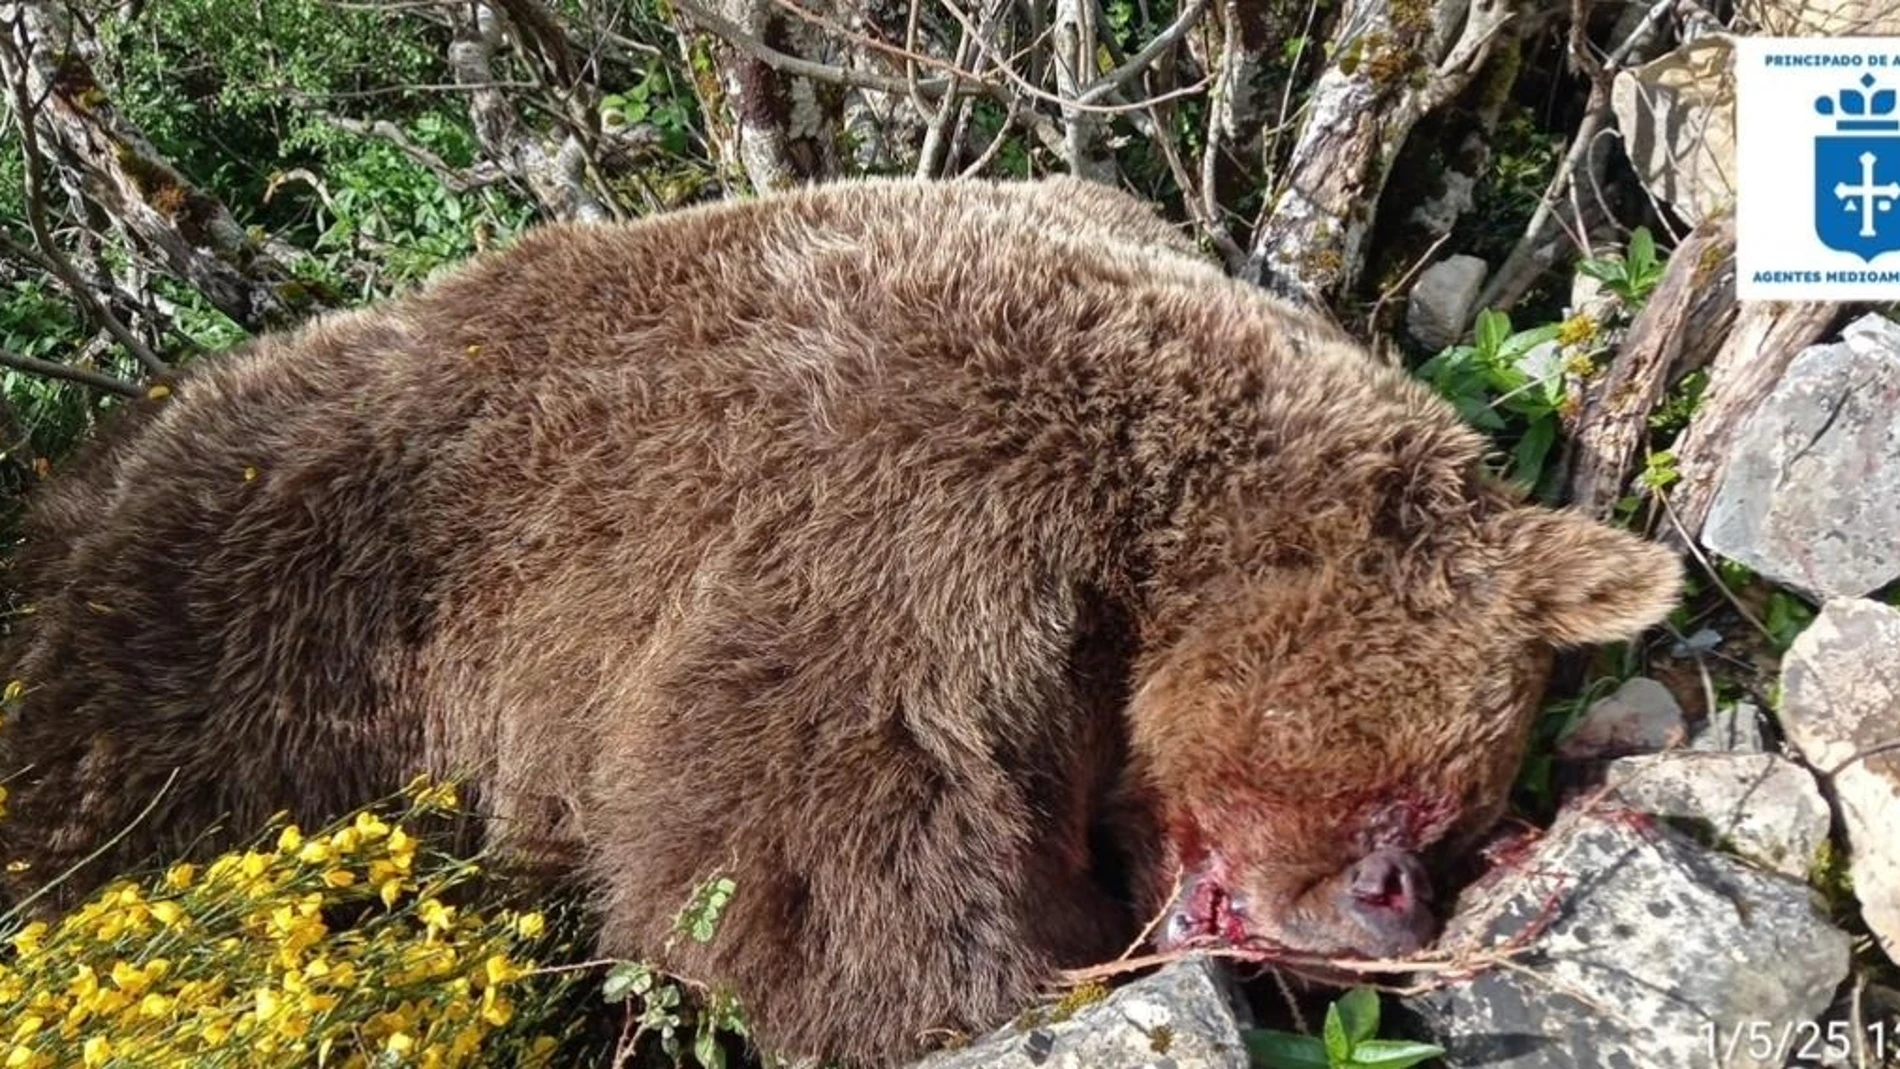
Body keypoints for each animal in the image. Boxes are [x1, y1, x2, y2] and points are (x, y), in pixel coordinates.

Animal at [0, 176, 1682, 1066]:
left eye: (1458, 811)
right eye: (1410, 804)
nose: (1391, 917)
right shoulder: (909, 511)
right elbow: (817, 851)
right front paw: (1007, 987)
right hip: (247, 620)